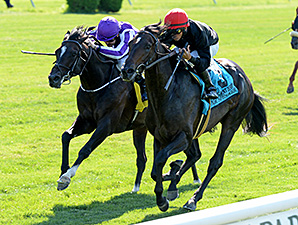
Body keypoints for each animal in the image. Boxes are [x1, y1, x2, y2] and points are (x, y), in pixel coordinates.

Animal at [47, 25, 200, 192]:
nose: (53, 78)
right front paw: (63, 170)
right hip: (141, 128)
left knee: (191, 152)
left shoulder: (107, 124)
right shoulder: (87, 121)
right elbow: (65, 136)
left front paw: (66, 177)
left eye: (74, 53)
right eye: (57, 51)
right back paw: (138, 187)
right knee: (143, 158)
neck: (98, 85)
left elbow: (85, 149)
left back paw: (193, 179)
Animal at [121, 23, 268, 212]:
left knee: (214, 162)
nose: (126, 71)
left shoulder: (183, 136)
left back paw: (193, 199)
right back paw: (174, 180)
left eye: (147, 46)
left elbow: (160, 160)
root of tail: (245, 78)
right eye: (130, 44)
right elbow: (155, 170)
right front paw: (167, 185)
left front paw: (163, 199)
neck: (167, 93)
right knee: (194, 155)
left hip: (231, 124)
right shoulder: (160, 136)